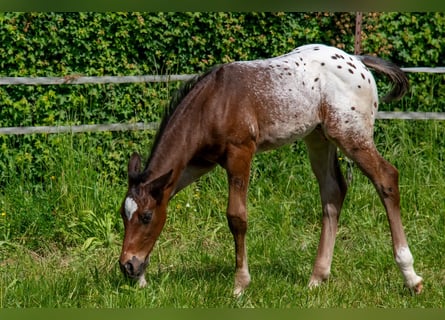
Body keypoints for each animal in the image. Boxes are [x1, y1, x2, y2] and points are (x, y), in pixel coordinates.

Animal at [119, 44, 424, 296]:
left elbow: (236, 217)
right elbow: (167, 193)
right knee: (333, 192)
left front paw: (240, 284)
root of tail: (358, 61)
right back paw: (316, 278)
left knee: (386, 178)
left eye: (146, 217)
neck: (212, 103)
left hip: (351, 135)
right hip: (319, 138)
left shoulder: (240, 152)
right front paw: (142, 276)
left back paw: (411, 277)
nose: (126, 266)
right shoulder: (197, 163)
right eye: (124, 215)